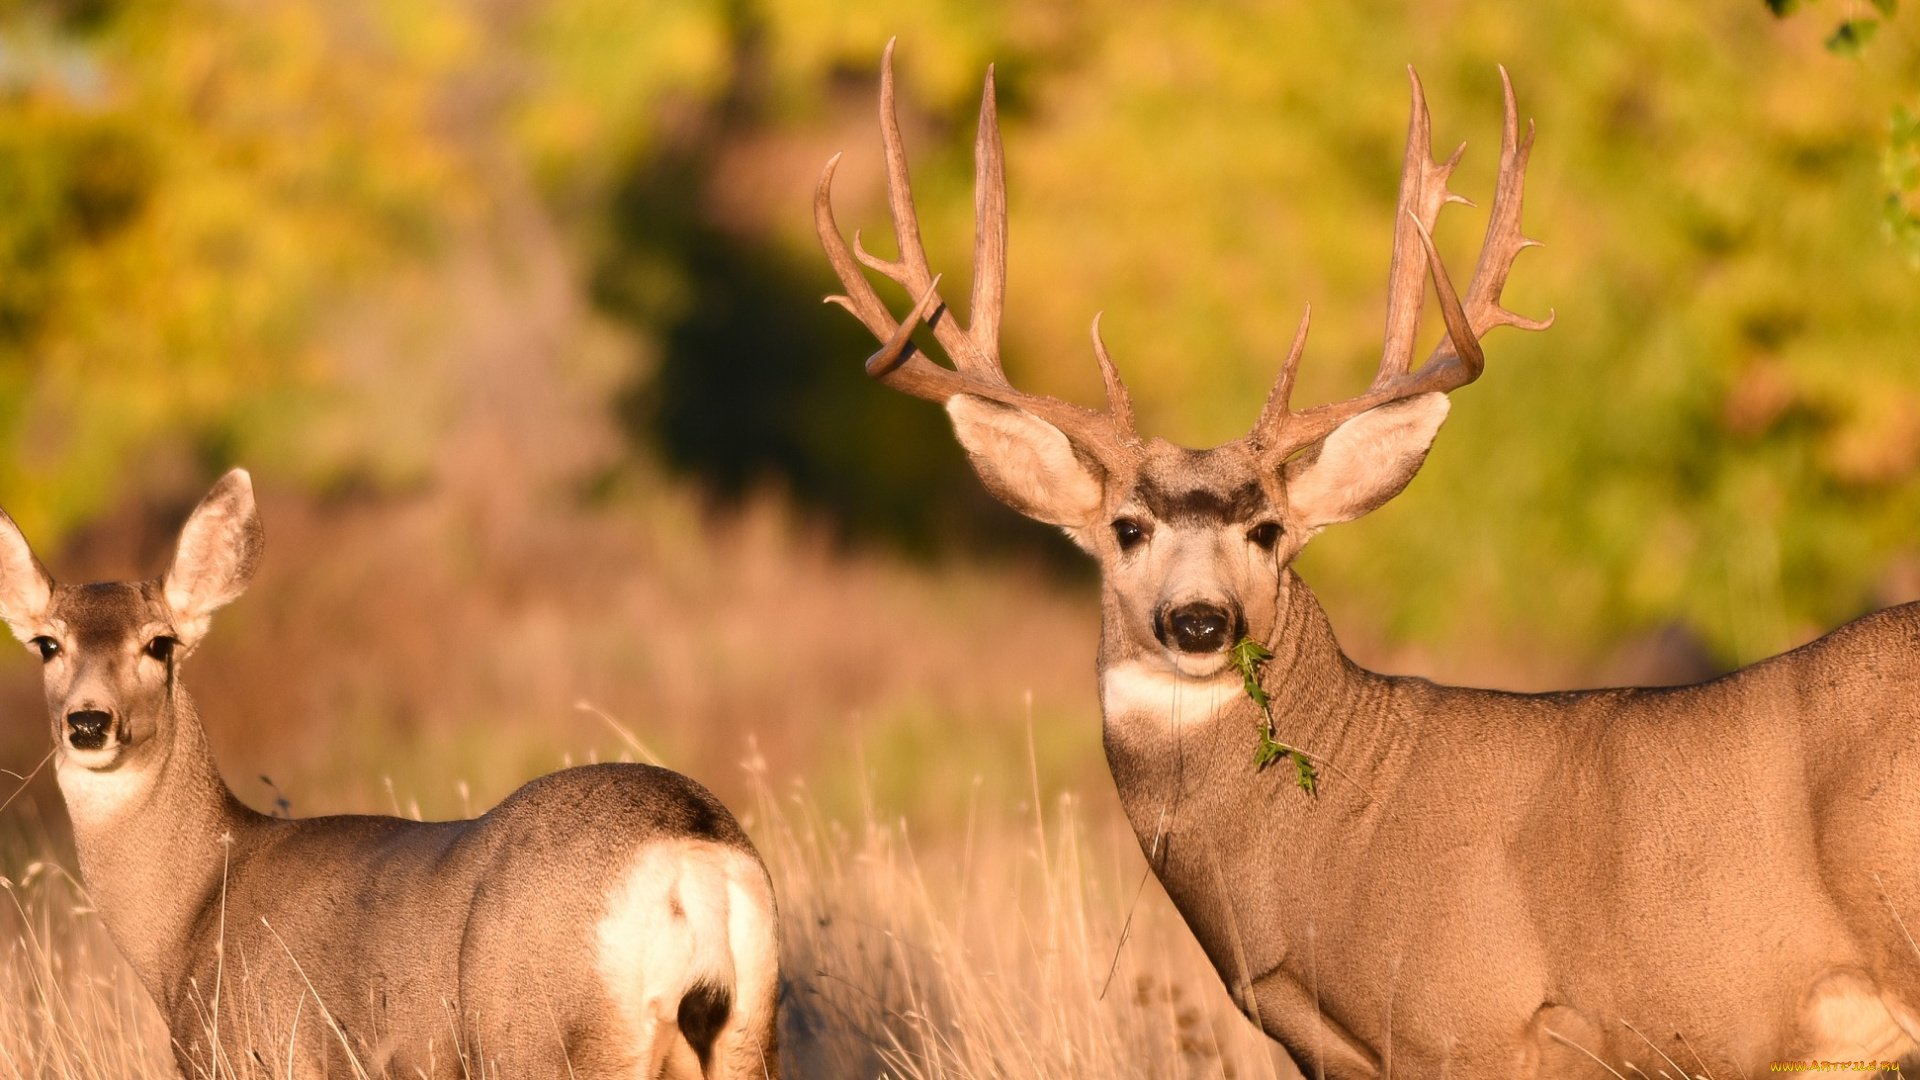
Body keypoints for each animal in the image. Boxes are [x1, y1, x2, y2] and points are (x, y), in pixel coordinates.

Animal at [1, 470, 779, 1076]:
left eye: (160, 643)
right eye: (47, 644)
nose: (89, 722)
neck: (194, 909)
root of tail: (691, 852)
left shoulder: (257, 1053)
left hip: (546, 1037)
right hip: (748, 1036)